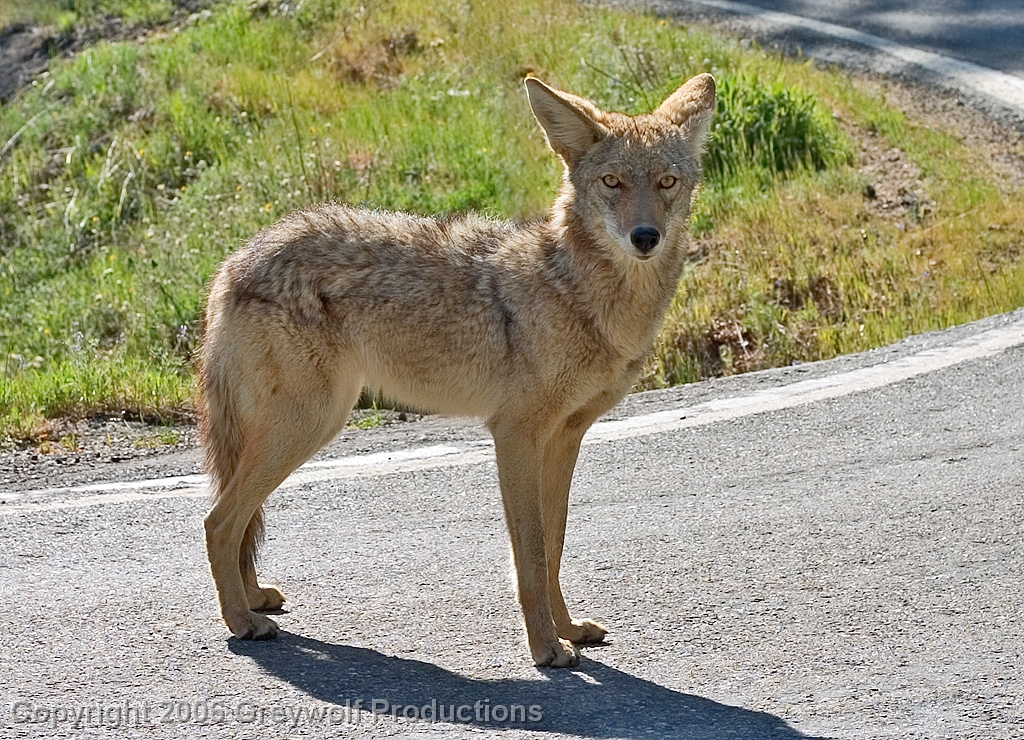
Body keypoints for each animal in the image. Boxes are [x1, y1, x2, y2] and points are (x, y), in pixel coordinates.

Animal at [197, 73, 716, 668]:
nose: (645, 237)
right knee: (218, 522)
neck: (579, 293)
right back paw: (241, 622)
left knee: (236, 521)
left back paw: (254, 599)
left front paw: (568, 630)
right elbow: (531, 554)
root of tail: (232, 265)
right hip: (309, 426)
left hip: (304, 427)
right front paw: (546, 648)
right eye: (612, 182)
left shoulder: (566, 437)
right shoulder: (514, 434)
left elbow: (554, 544)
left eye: (666, 182)